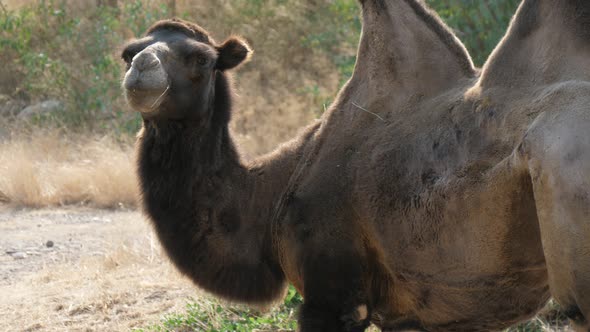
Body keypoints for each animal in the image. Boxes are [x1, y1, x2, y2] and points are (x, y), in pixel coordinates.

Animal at [120, 1, 590, 330]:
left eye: (201, 59)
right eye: (129, 52)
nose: (142, 68)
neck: (271, 194)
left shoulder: (331, 296)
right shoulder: (412, 313)